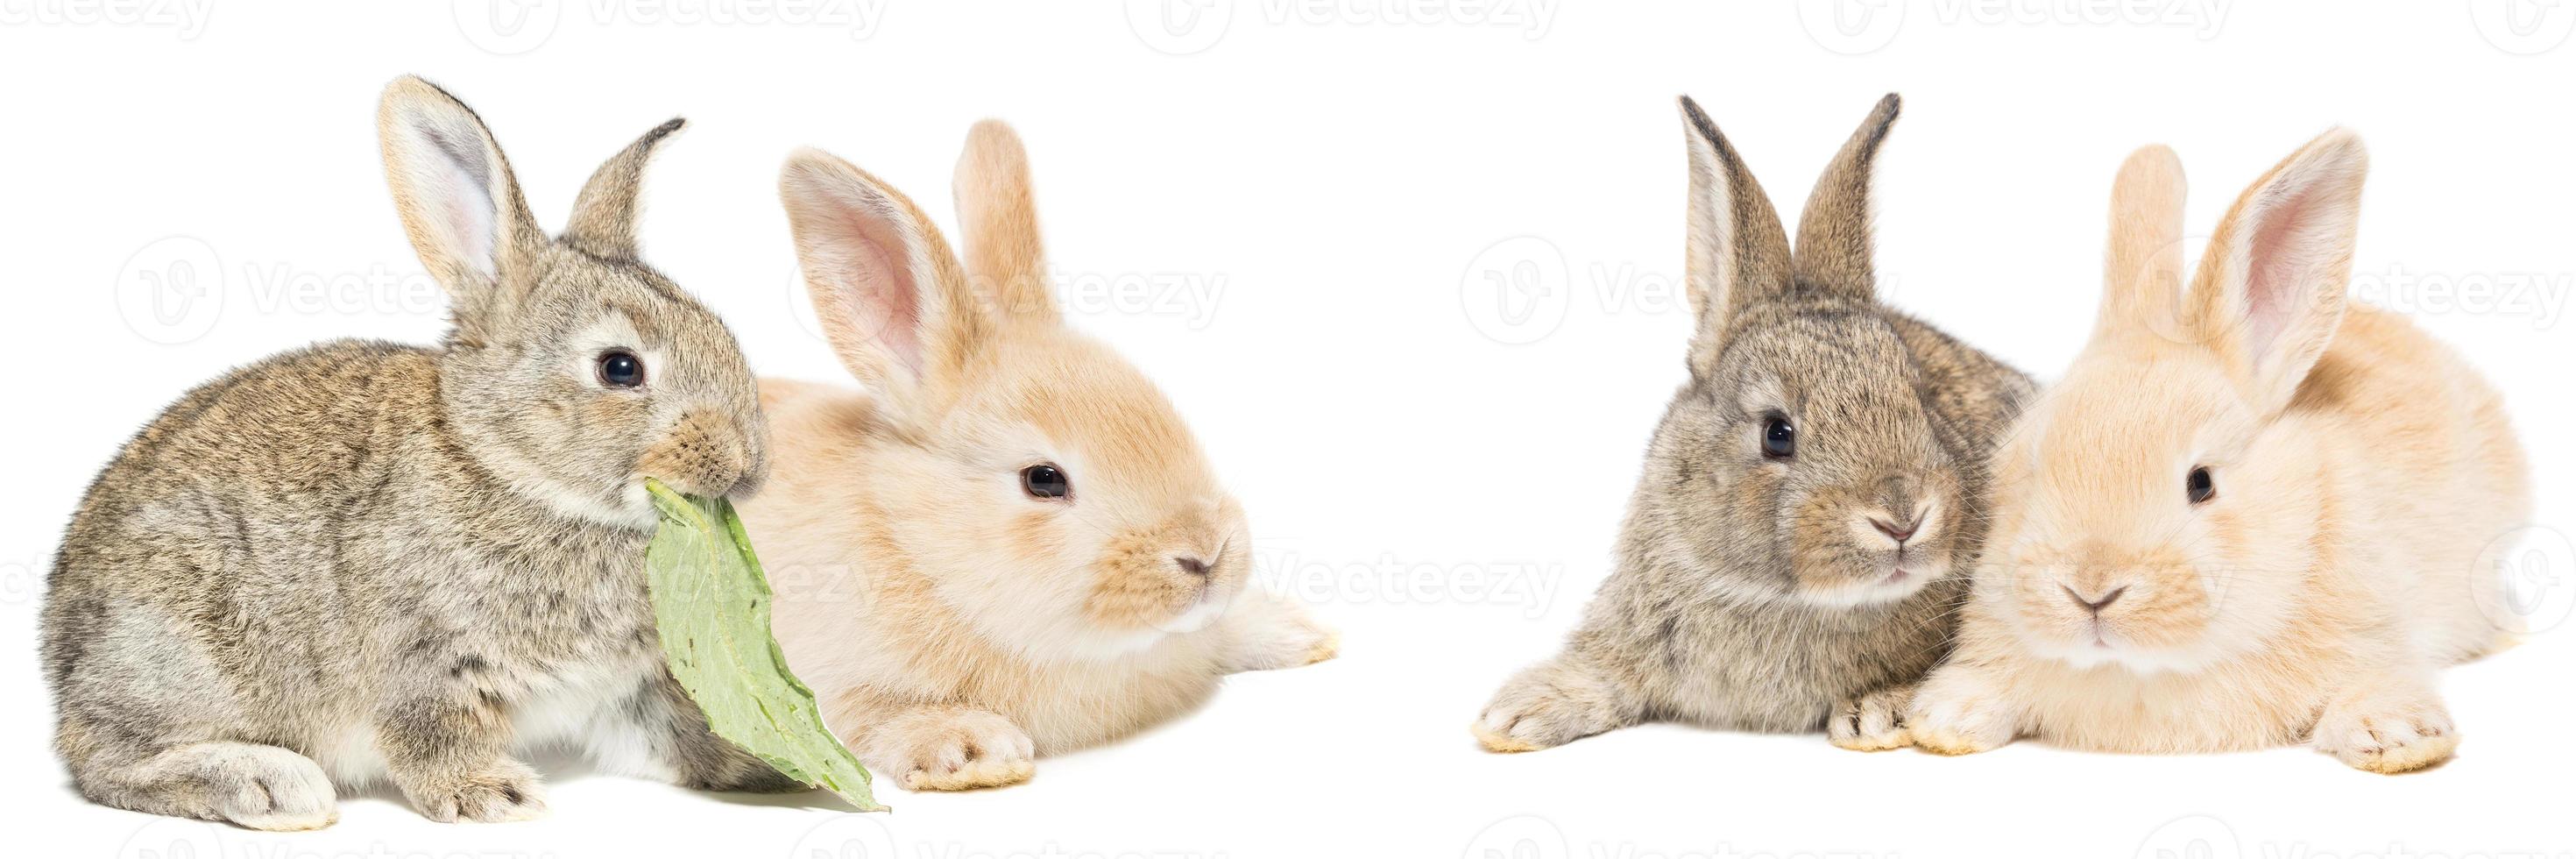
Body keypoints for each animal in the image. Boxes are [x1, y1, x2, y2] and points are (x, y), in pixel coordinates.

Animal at [39, 76, 793, 825]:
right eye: (619, 368)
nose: (745, 465)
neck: (508, 469)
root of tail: (58, 658)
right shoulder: (427, 665)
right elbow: (431, 737)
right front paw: (494, 794)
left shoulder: (624, 690)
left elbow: (673, 731)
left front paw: (769, 764)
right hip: (182, 652)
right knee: (103, 760)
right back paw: (271, 785)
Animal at [726, 122, 1329, 789]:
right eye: (1043, 479)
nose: (1206, 556)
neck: (916, 545)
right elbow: (869, 715)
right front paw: (969, 748)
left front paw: (1294, 630)